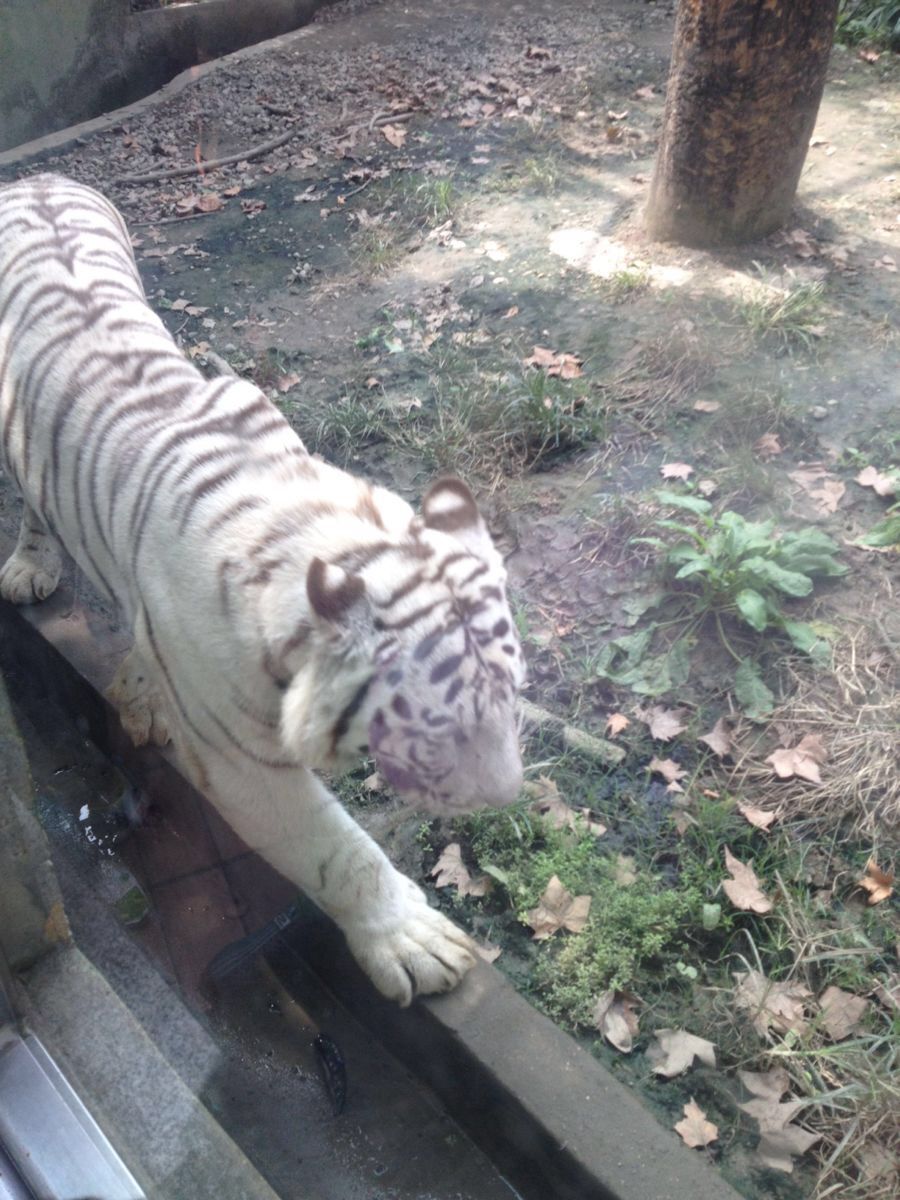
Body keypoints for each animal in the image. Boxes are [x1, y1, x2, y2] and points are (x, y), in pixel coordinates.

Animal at [0, 174, 525, 1003]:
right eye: (437, 723)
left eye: (512, 690)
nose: (507, 795)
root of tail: (35, 177)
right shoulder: (239, 760)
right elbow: (333, 849)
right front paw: (411, 941)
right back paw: (30, 566)